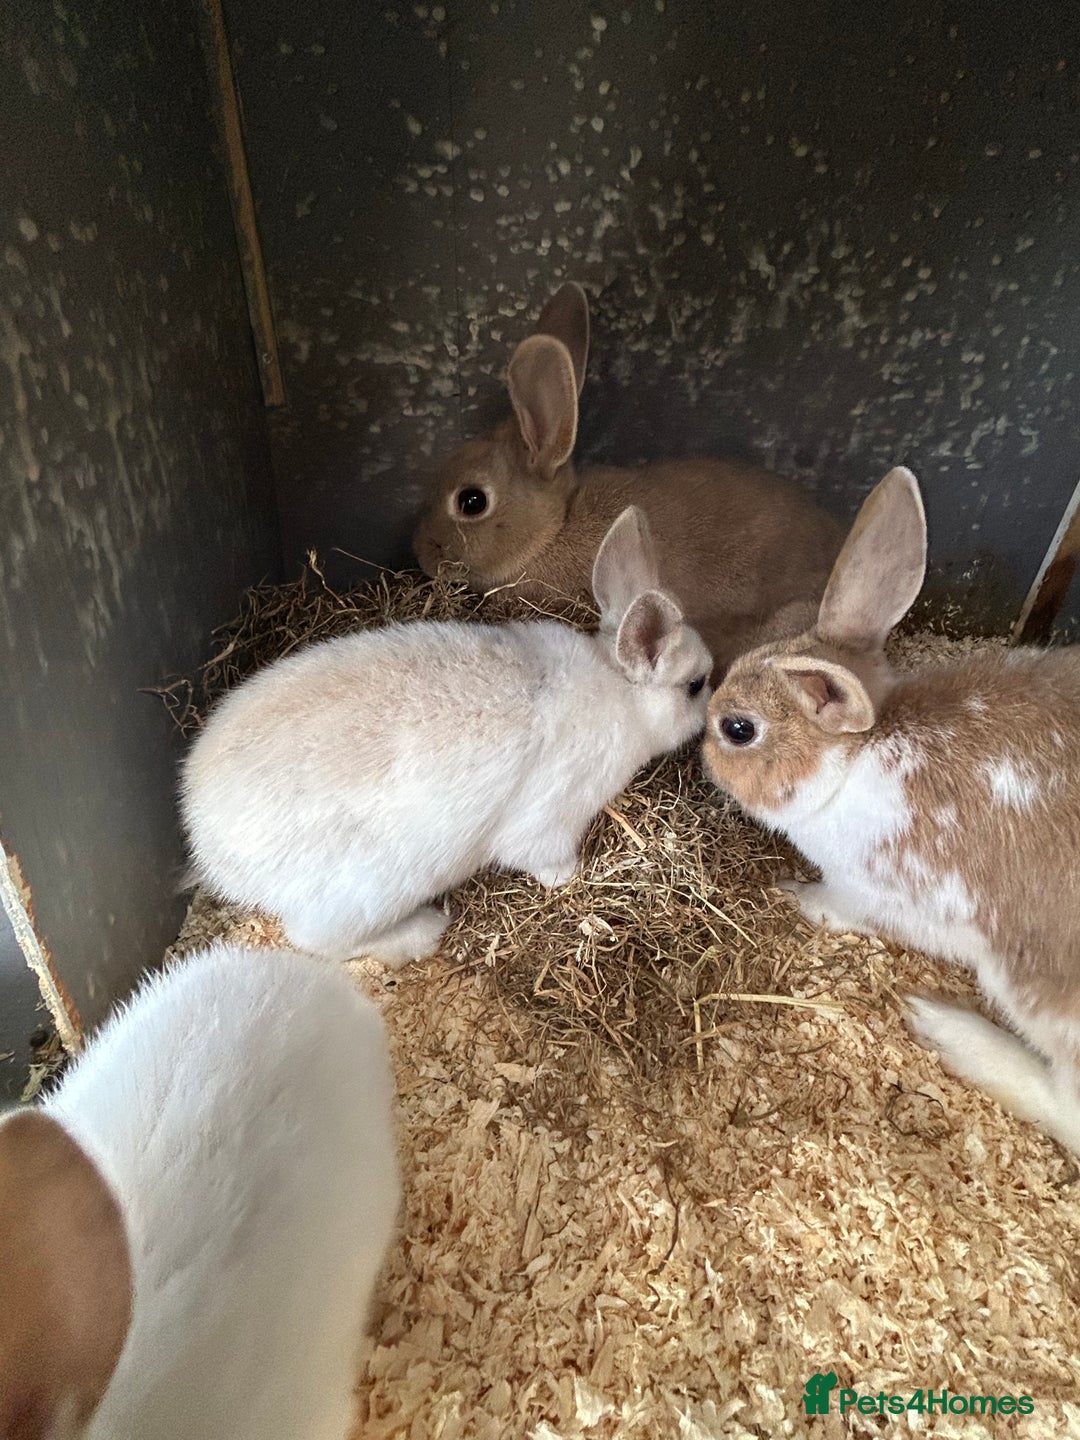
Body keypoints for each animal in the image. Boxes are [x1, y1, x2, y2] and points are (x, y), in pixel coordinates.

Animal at [181, 506, 713, 965]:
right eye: (695, 686)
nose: (712, 720)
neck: (619, 691)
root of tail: (210, 852)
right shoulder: (550, 819)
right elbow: (543, 860)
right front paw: (570, 877)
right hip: (369, 892)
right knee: (316, 940)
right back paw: (424, 930)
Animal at [702, 464, 1080, 1155]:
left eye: (738, 730)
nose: (700, 753)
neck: (853, 761)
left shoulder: (868, 888)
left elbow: (833, 908)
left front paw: (792, 893)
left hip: (1038, 994)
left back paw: (947, 1028)